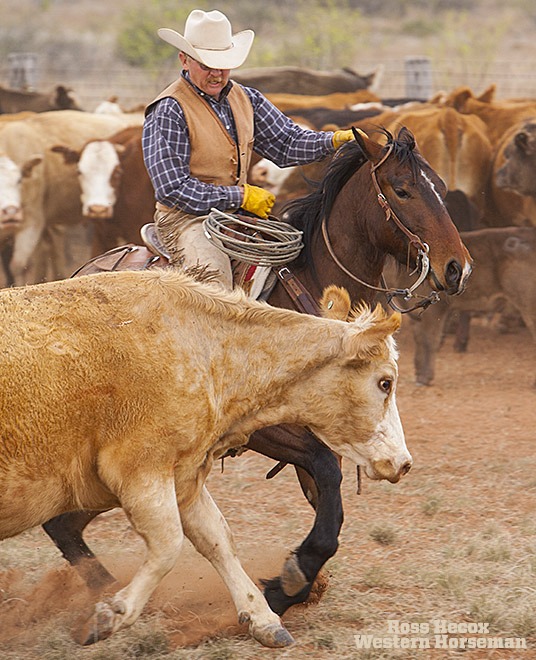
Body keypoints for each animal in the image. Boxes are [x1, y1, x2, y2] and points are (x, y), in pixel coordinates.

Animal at [0, 269, 411, 647]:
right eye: (385, 382)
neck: (202, 346)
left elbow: (218, 540)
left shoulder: (184, 475)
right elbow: (168, 545)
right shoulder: (141, 470)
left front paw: (263, 618)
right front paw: (111, 615)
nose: (404, 463)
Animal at [383, 226, 536, 386]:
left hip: (528, 305)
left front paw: (426, 377)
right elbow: (419, 340)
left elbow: (429, 340)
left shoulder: (435, 311)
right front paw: (419, 374)